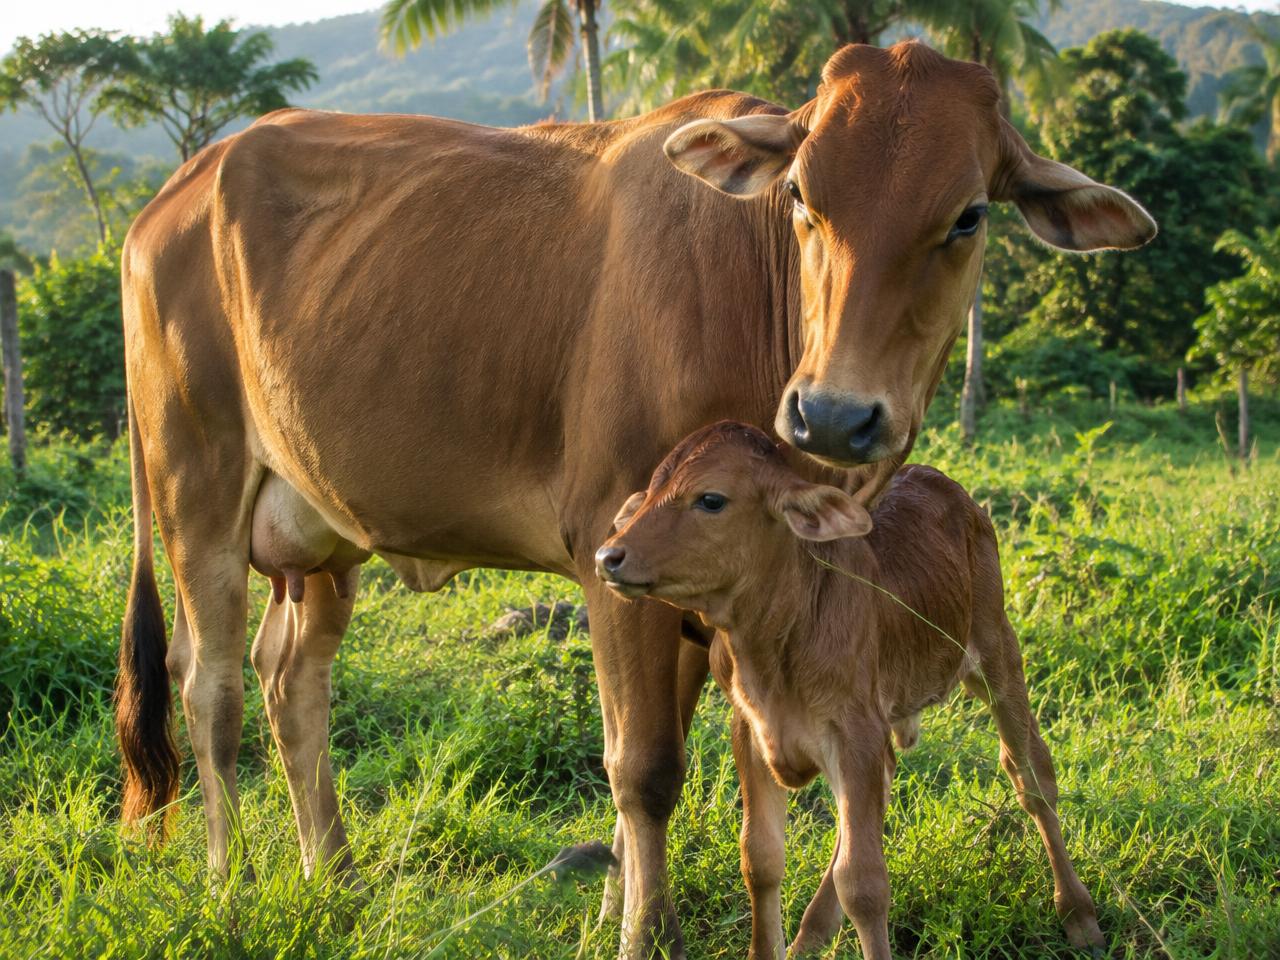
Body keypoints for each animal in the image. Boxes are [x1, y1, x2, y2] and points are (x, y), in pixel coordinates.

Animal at [594, 421, 1103, 959]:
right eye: (650, 491)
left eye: (711, 499)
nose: (609, 556)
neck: (773, 645)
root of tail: (940, 480)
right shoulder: (753, 732)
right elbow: (761, 858)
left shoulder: (854, 732)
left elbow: (863, 882)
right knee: (882, 788)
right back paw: (812, 934)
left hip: (995, 650)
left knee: (1031, 775)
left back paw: (1079, 915)